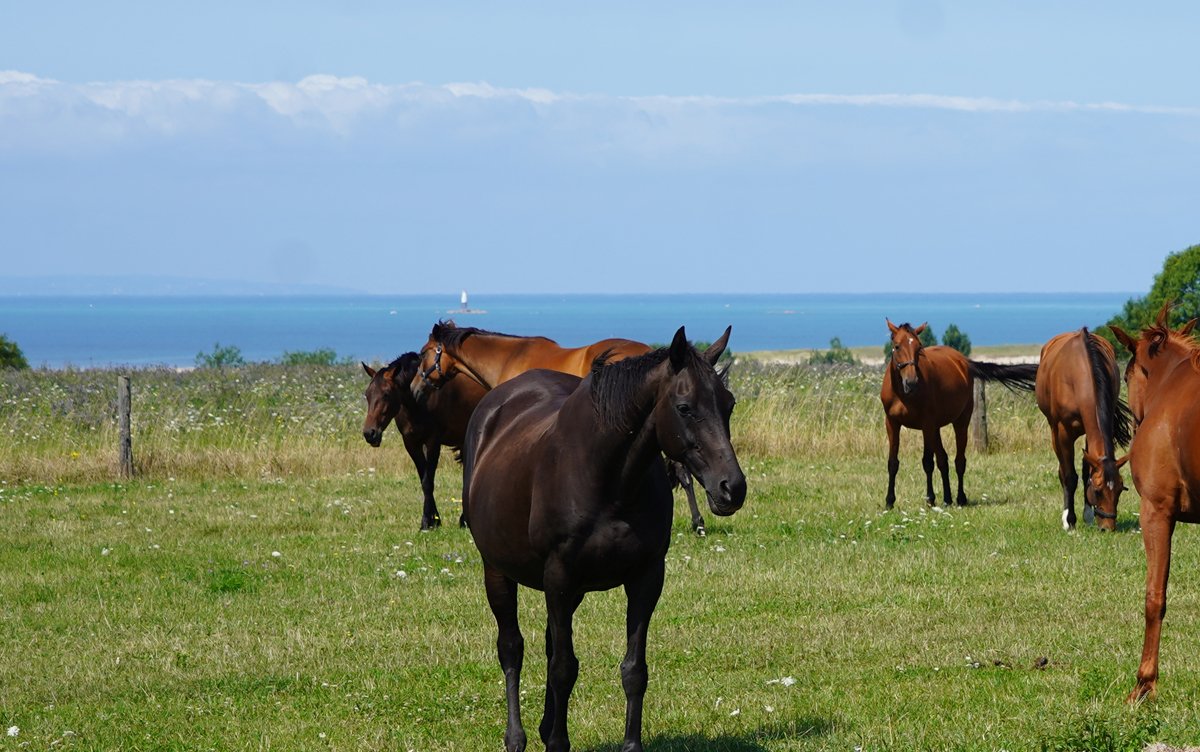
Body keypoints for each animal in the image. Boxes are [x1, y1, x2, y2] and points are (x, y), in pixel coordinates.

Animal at [360, 352, 486, 530]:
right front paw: (433, 520)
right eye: (367, 394)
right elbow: (424, 479)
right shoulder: (411, 443)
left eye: (386, 394)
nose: (369, 433)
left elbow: (428, 481)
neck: (417, 401)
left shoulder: (433, 442)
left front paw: (427, 521)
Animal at [462, 326, 746, 752]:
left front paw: (630, 745)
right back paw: (517, 737)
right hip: (498, 571)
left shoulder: (646, 577)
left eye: (728, 405)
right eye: (684, 407)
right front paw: (557, 744)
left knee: (549, 642)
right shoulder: (559, 577)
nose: (732, 488)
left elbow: (633, 670)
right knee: (512, 647)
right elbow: (563, 669)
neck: (606, 478)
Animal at [881, 319, 1039, 508]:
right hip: (935, 428)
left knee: (959, 460)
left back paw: (960, 498)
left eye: (919, 347)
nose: (911, 382)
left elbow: (927, 462)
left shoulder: (926, 424)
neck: (903, 395)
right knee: (943, 460)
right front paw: (889, 501)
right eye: (897, 346)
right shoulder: (892, 423)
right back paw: (947, 498)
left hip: (960, 422)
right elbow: (893, 463)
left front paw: (930, 498)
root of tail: (963, 361)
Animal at [1035, 328, 1132, 531]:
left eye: (1120, 489)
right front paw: (1069, 520)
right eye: (1098, 490)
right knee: (1063, 469)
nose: (1108, 527)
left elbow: (1087, 469)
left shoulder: (1093, 430)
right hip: (1054, 429)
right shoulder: (1063, 432)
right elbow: (1070, 476)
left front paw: (1087, 515)